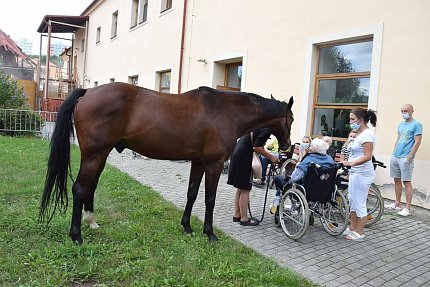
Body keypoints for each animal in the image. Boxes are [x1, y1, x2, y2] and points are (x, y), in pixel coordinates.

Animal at [40, 82, 294, 245]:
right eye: (290, 119)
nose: (287, 147)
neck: (227, 111)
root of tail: (88, 91)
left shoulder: (198, 162)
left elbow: (192, 193)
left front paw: (187, 227)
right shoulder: (213, 164)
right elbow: (209, 199)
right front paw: (209, 233)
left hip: (100, 156)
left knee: (90, 187)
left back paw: (91, 223)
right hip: (94, 155)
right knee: (80, 189)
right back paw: (76, 236)